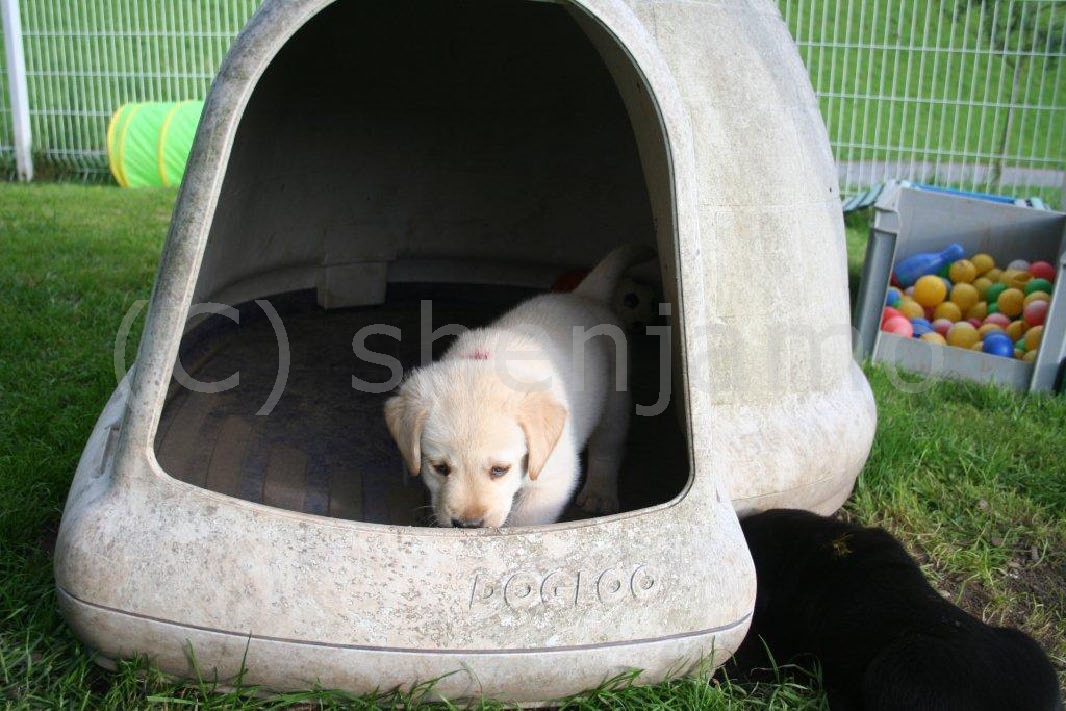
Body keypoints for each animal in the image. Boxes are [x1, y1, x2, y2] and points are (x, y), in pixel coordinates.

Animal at [384, 245, 653, 528]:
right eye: (440, 468)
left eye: (499, 470)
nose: (469, 525)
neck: (487, 364)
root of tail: (584, 296)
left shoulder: (551, 480)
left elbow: (524, 523)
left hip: (615, 398)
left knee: (607, 447)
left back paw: (599, 492)